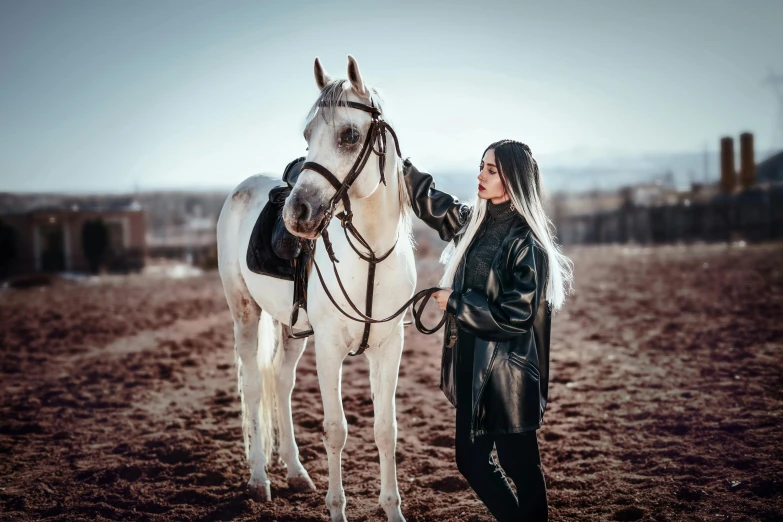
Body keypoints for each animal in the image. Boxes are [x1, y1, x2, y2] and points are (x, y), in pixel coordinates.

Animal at [217, 53, 416, 520]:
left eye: (349, 134)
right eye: (307, 134)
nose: (297, 213)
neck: (372, 255)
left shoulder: (389, 347)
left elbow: (386, 429)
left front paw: (393, 508)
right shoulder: (329, 349)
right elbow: (336, 429)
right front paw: (337, 508)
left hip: (292, 329)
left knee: (281, 384)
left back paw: (295, 472)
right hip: (245, 313)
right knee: (255, 386)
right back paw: (260, 479)